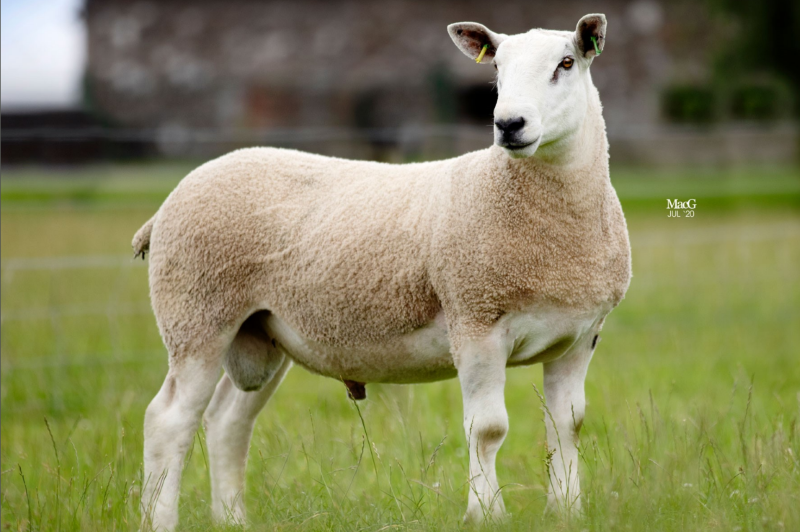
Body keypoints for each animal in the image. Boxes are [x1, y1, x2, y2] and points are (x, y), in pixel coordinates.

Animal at [134, 14, 628, 528]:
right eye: (497, 70)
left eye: (566, 63)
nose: (509, 124)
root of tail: (171, 200)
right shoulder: (475, 320)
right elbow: (488, 429)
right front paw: (486, 514)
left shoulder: (581, 335)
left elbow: (567, 425)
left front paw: (567, 511)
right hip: (196, 313)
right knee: (168, 421)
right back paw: (159, 519)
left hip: (260, 331)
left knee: (227, 421)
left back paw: (232, 519)